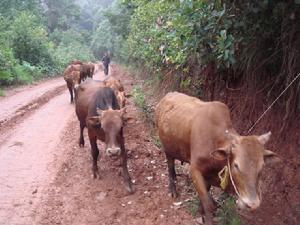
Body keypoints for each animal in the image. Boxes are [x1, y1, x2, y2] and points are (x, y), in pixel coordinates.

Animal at [156, 92, 280, 225]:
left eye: (262, 167)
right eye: (236, 165)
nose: (252, 204)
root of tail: (168, 95)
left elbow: (206, 197)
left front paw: (201, 212)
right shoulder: (195, 170)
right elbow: (209, 203)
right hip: (167, 149)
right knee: (170, 166)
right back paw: (172, 190)